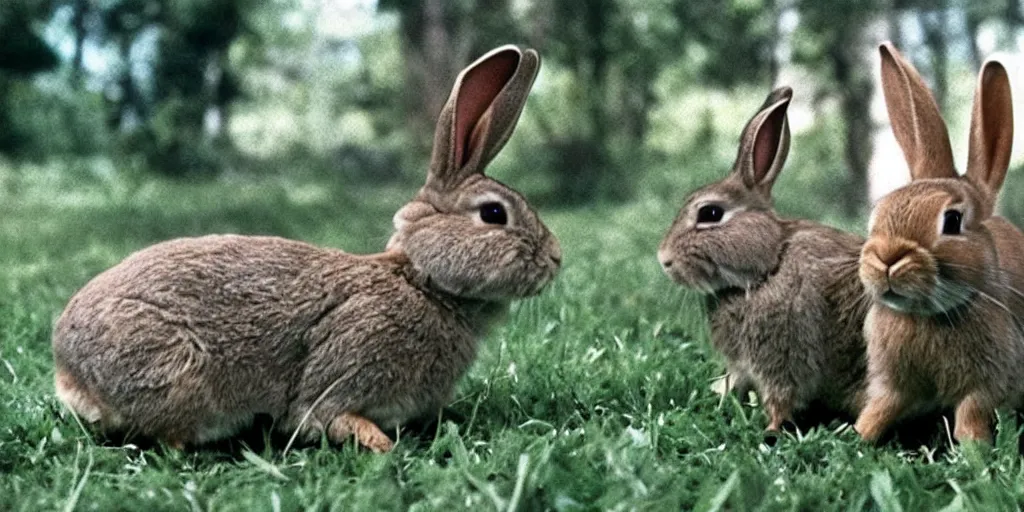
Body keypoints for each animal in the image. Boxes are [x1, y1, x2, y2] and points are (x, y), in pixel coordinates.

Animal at [49, 44, 561, 452]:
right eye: (493, 214)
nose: (556, 259)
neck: (422, 282)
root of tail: (68, 369)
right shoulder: (346, 366)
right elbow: (327, 415)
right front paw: (382, 445)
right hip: (173, 371)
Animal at [655, 86, 872, 434]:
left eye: (710, 213)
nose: (664, 260)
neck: (769, 267)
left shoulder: (781, 355)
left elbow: (780, 397)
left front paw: (770, 429)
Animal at [851, 43, 1024, 444]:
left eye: (952, 221)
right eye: (879, 210)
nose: (887, 257)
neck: (926, 316)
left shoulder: (990, 382)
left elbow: (971, 414)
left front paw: (975, 449)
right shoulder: (892, 384)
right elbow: (880, 408)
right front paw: (858, 435)